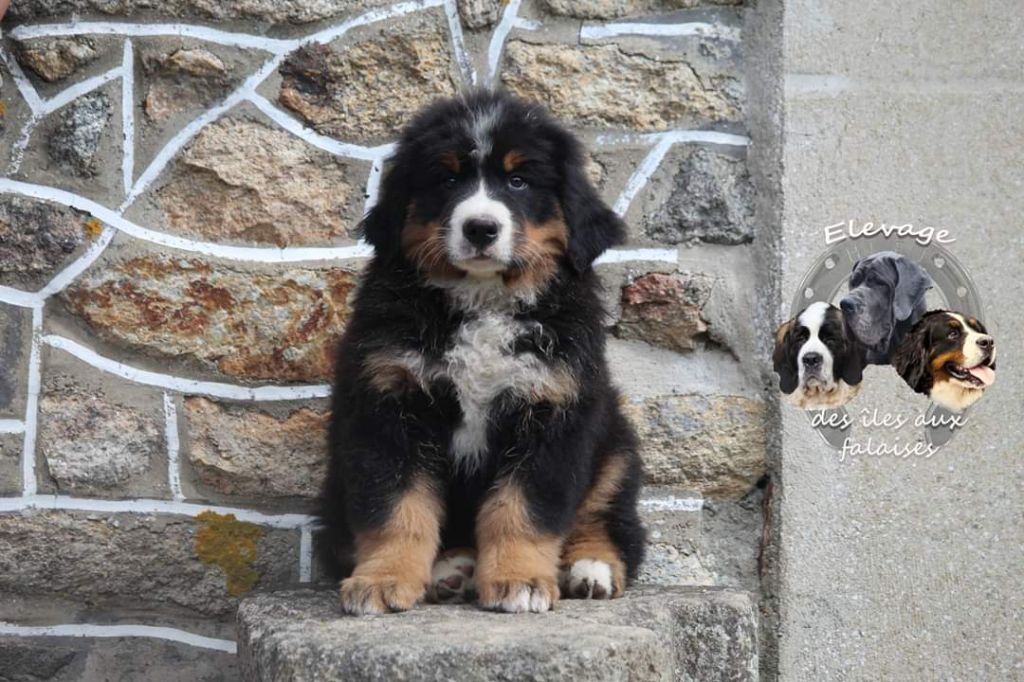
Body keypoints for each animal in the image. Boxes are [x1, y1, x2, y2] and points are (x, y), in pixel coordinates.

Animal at [315, 91, 643, 614]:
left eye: (518, 180)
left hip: (614, 446)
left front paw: (519, 579)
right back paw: (451, 570)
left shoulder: (553, 408)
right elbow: (396, 507)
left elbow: (523, 509)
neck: (484, 301)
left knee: (609, 519)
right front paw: (383, 579)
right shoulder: (387, 404)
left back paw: (591, 569)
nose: (481, 228)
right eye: (448, 178)